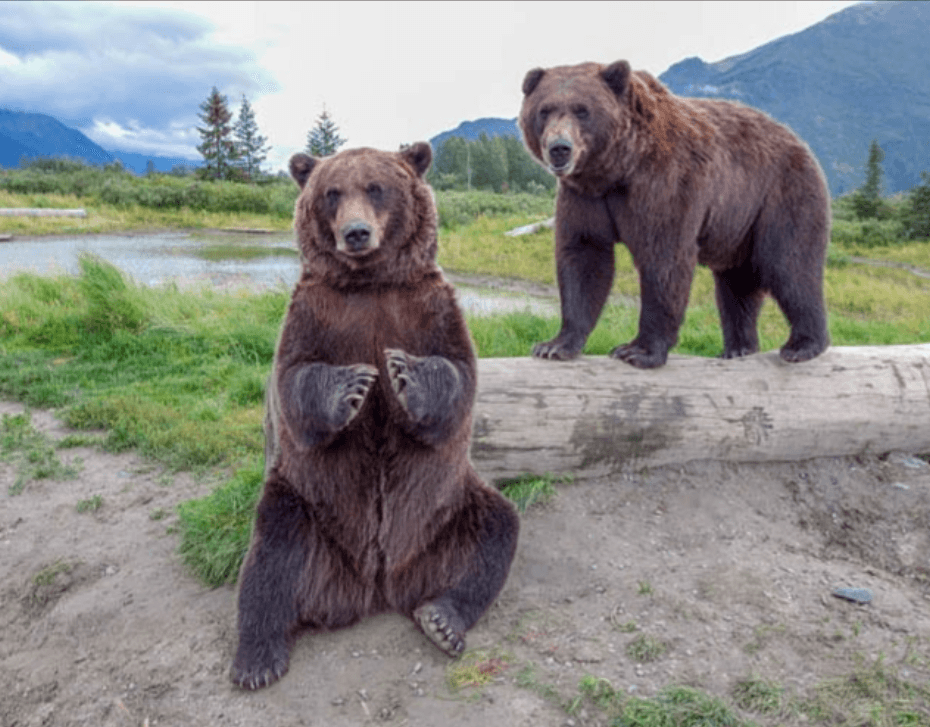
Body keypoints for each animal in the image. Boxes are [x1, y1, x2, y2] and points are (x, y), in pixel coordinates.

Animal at [231, 142, 520, 690]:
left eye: (376, 187)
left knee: (496, 531)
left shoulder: (428, 307)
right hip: (303, 500)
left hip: (449, 506)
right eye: (331, 192)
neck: (371, 283)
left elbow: (458, 373)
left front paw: (405, 372)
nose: (356, 233)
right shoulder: (316, 312)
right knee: (270, 557)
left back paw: (443, 619)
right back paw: (256, 658)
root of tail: (377, 586)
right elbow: (295, 379)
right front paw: (354, 383)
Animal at [519, 59, 830, 369]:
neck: (616, 169)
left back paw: (803, 345)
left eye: (582, 110)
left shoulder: (665, 184)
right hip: (739, 226)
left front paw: (638, 350)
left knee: (789, 265)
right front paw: (555, 345)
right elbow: (583, 258)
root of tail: (799, 141)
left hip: (780, 195)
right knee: (737, 284)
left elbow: (664, 260)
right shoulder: (584, 197)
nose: (559, 148)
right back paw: (738, 348)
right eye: (544, 110)